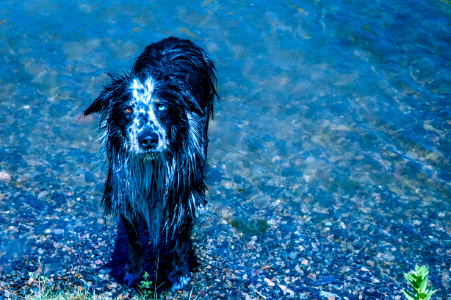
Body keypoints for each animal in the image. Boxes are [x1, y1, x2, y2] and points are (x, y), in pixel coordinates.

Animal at [85, 36, 220, 290]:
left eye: (162, 106)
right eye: (128, 109)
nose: (148, 139)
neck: (151, 167)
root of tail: (174, 39)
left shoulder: (182, 195)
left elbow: (181, 240)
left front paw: (179, 274)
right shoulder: (125, 194)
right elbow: (134, 241)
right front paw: (133, 272)